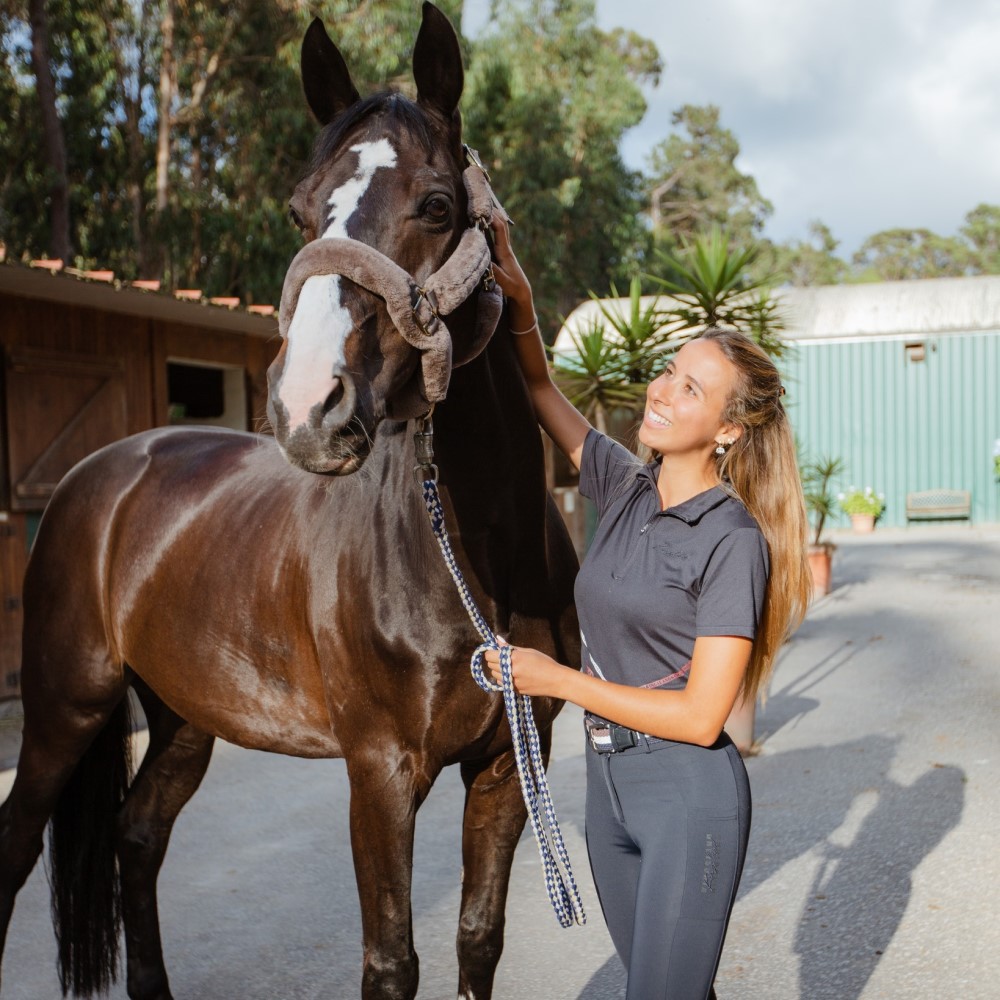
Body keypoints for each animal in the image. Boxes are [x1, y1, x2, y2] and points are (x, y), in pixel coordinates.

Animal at [0, 5, 580, 992]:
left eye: (437, 204)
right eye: (300, 211)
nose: (310, 407)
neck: (479, 558)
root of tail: (96, 475)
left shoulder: (509, 760)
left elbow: (477, 938)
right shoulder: (379, 771)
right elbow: (391, 960)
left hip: (182, 719)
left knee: (136, 836)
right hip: (62, 711)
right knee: (12, 851)